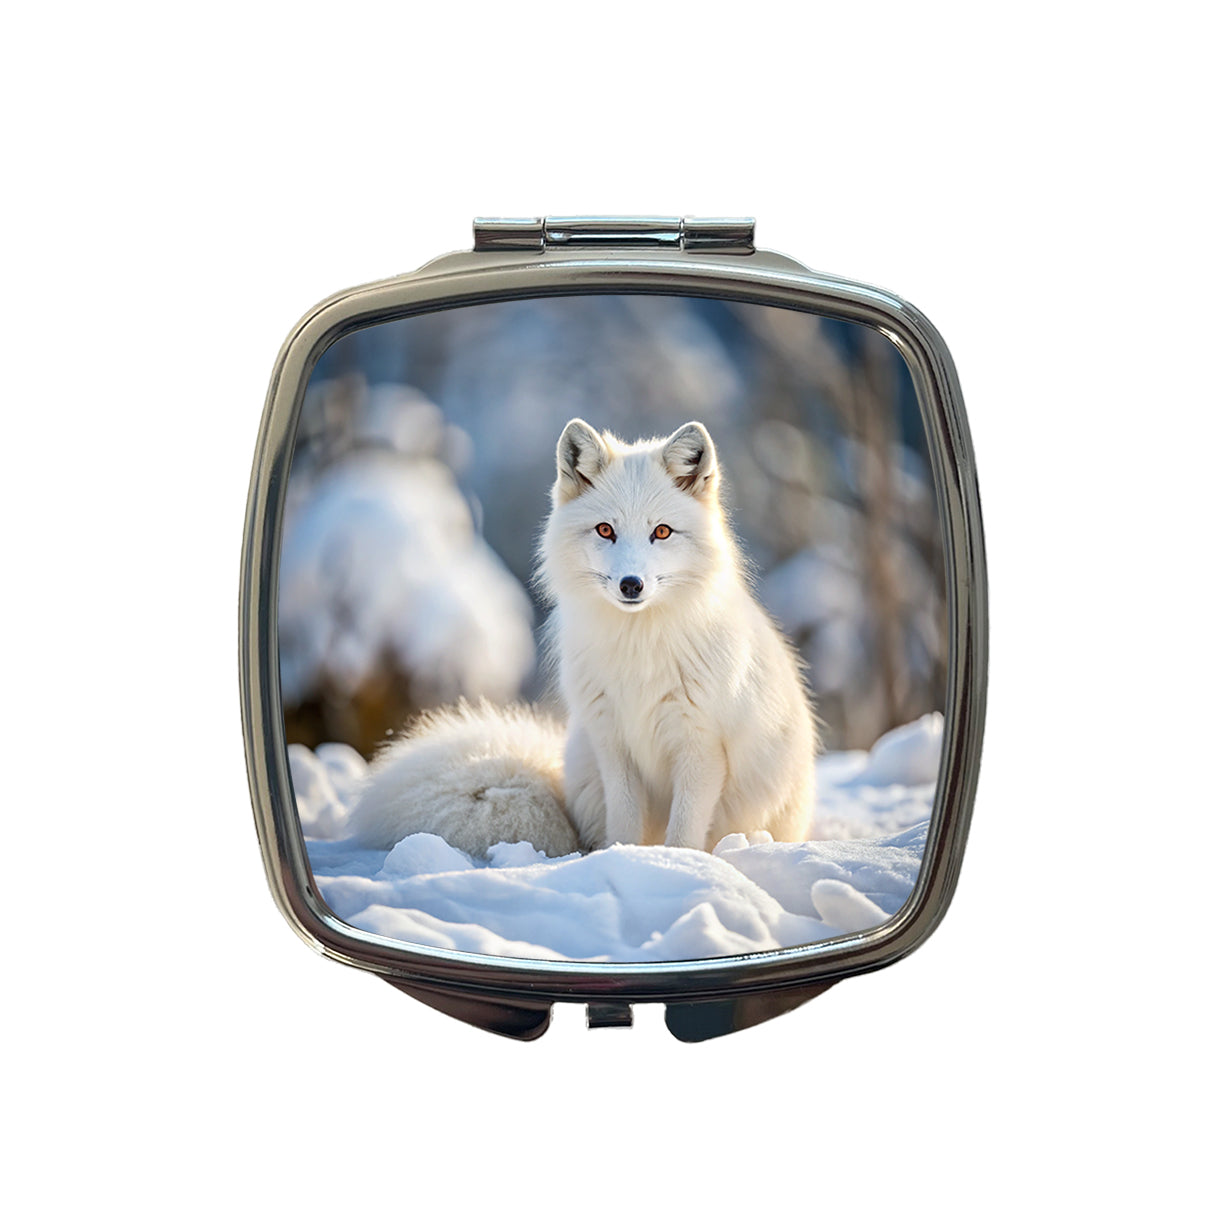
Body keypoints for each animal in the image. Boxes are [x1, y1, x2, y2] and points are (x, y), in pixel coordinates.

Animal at [343, 419, 818, 856]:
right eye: (605, 530)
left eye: (662, 531)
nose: (631, 585)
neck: (638, 650)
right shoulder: (612, 741)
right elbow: (624, 821)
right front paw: (623, 859)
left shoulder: (699, 746)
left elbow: (684, 831)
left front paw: (678, 864)